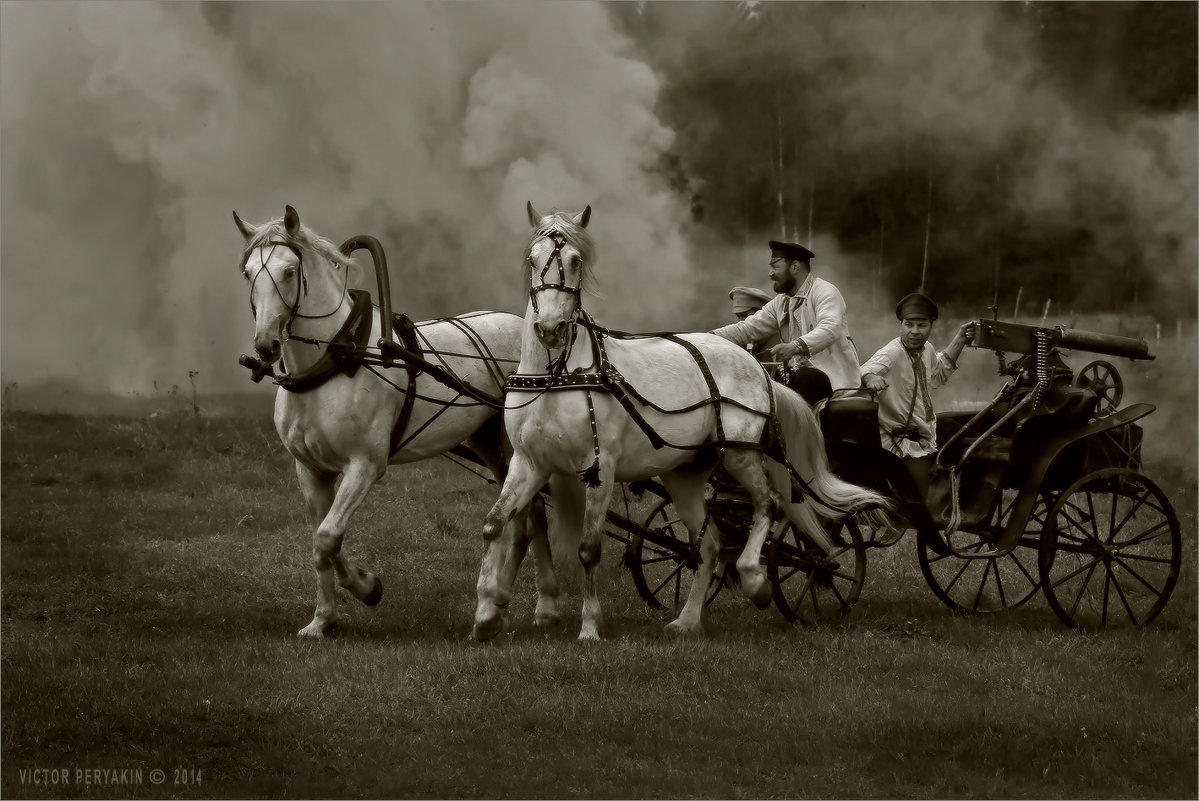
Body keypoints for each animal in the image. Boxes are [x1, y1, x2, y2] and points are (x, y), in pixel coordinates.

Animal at [237, 206, 565, 637]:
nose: (265, 345)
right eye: (247, 273)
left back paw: (542, 605)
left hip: (520, 450)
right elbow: (320, 545)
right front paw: (322, 620)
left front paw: (367, 587)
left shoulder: (365, 465)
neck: (336, 359)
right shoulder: (309, 469)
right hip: (488, 443)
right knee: (525, 518)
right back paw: (504, 603)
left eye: (290, 271)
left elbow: (328, 536)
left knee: (535, 519)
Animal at [470, 203, 892, 642]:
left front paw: (589, 627)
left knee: (769, 506)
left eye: (575, 260)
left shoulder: (599, 469)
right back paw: (688, 620)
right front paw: (485, 615)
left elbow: (589, 549)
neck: (558, 376)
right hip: (684, 476)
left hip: (740, 456)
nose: (550, 329)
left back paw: (757, 581)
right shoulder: (529, 463)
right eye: (532, 259)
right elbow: (494, 525)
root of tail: (757, 365)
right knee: (709, 545)